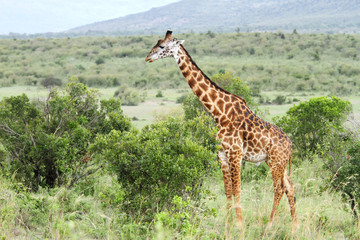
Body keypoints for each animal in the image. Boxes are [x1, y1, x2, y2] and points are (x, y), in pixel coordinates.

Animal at [144, 31, 298, 228]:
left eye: (163, 46)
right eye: (157, 42)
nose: (148, 57)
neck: (219, 113)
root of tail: (291, 144)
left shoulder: (235, 153)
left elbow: (238, 190)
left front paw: (239, 227)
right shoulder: (222, 155)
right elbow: (228, 191)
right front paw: (228, 227)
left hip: (275, 161)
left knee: (278, 188)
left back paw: (269, 226)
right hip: (277, 162)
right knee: (290, 187)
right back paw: (295, 227)